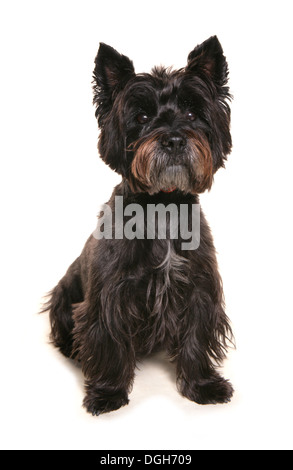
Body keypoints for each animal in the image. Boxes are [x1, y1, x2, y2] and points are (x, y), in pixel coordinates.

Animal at [43, 35, 234, 414]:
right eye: (142, 116)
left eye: (192, 112)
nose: (174, 140)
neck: (163, 205)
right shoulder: (109, 295)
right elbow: (109, 340)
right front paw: (107, 393)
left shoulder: (200, 289)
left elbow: (196, 335)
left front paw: (202, 386)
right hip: (63, 293)